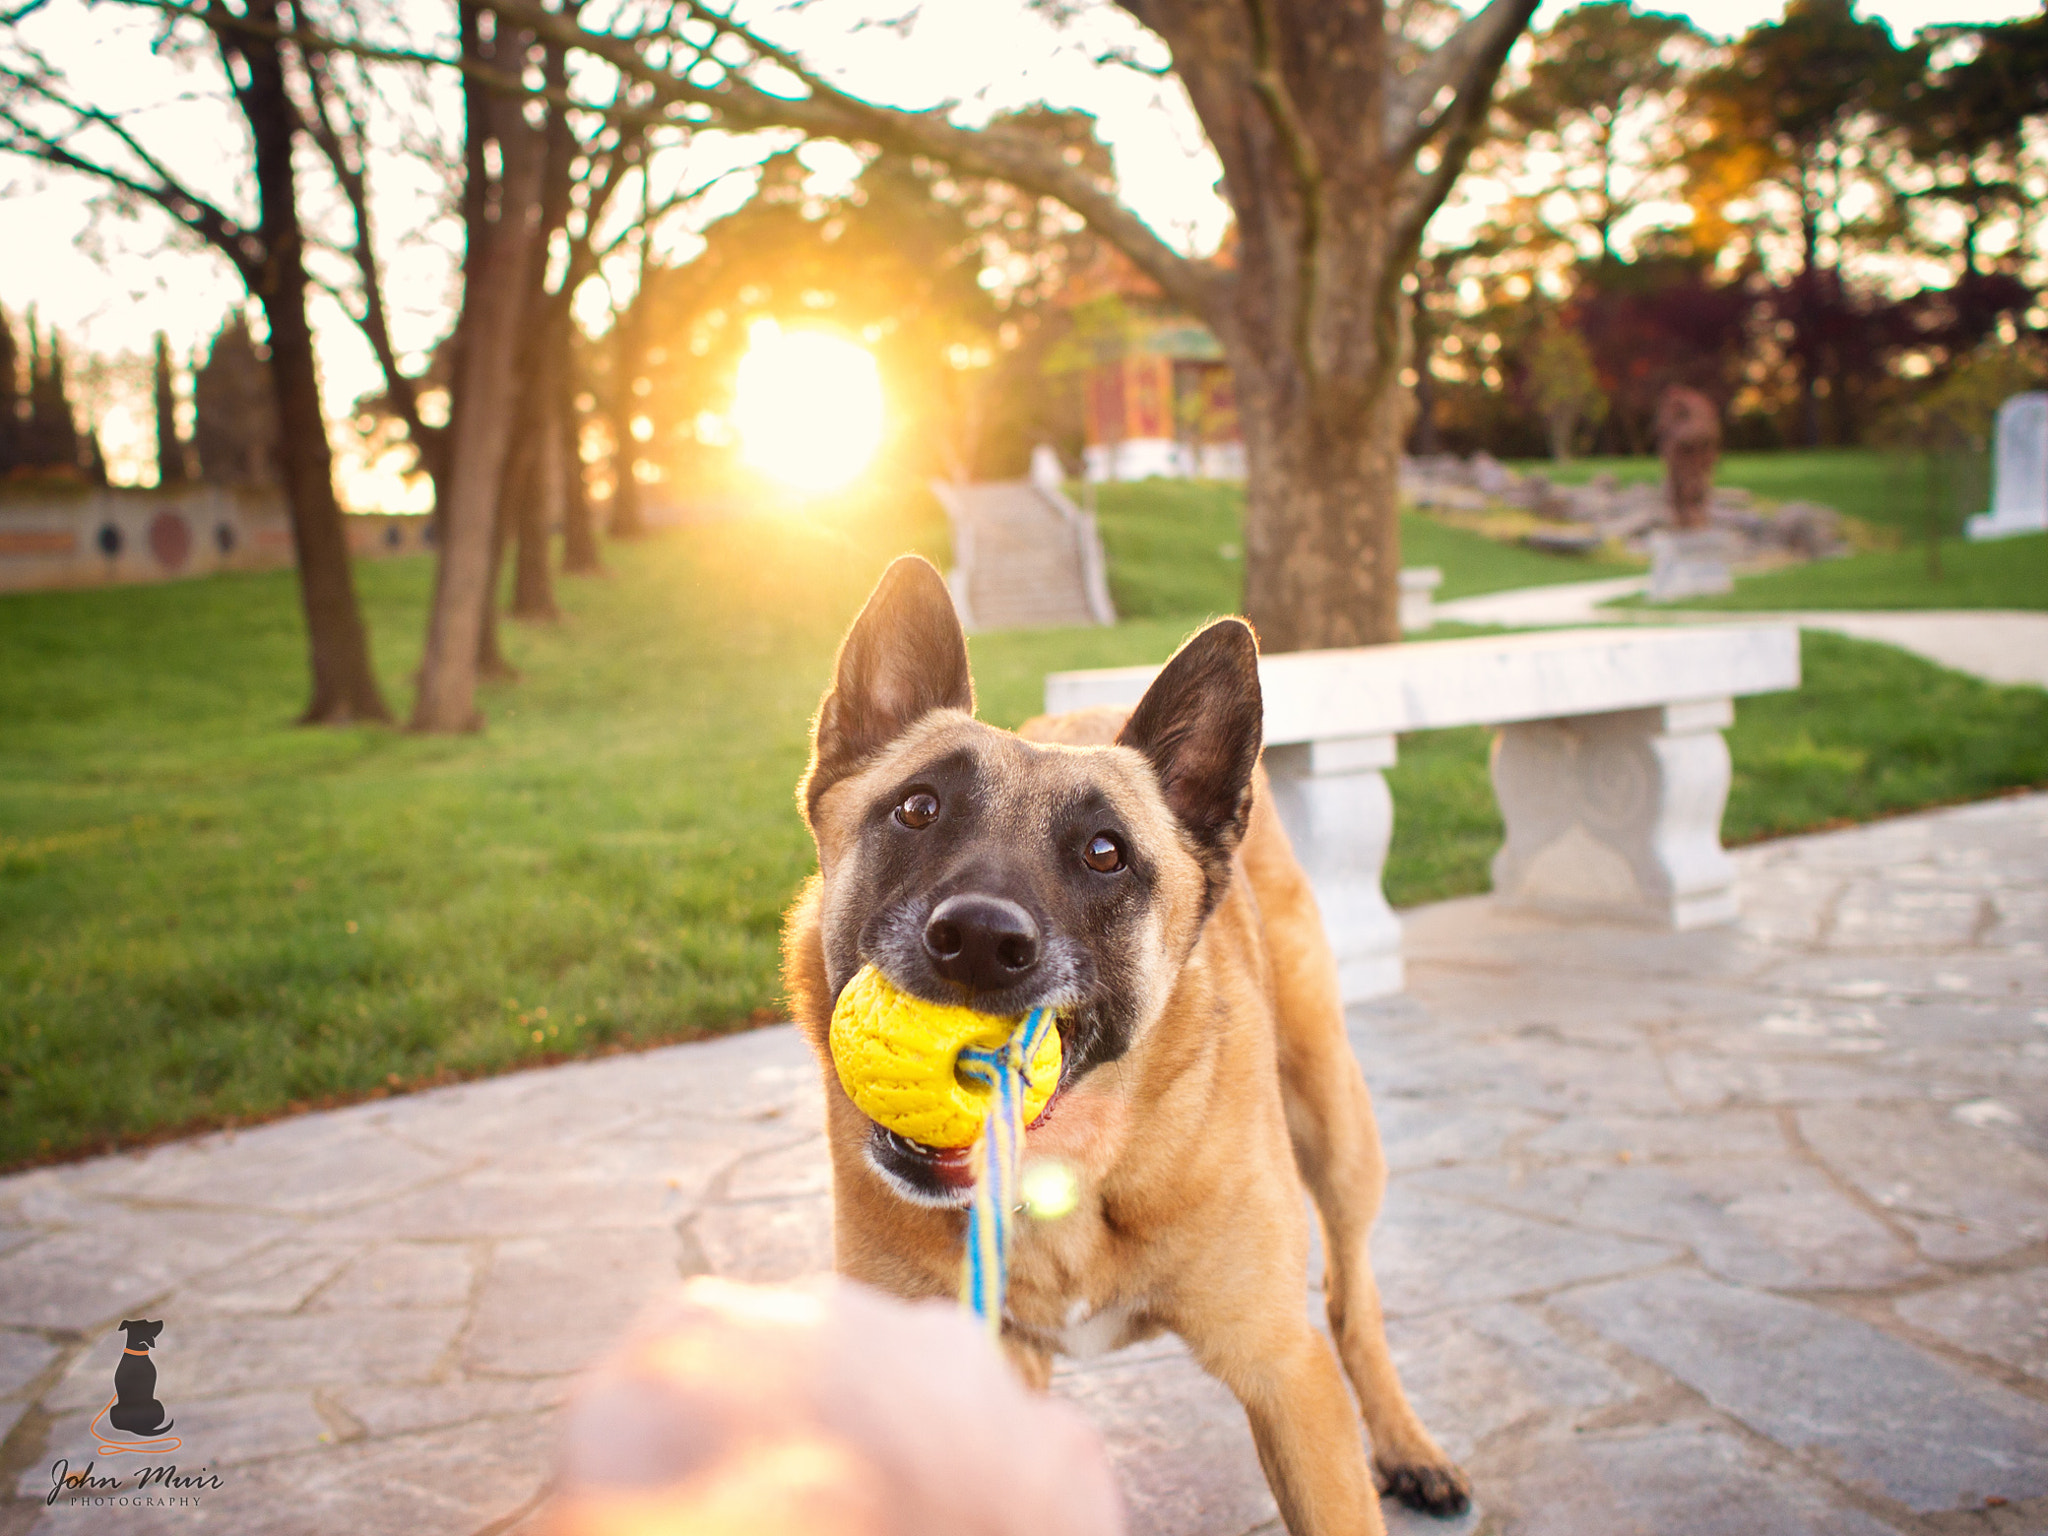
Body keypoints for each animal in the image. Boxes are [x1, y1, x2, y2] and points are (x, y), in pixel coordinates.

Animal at [782, 561, 1474, 1531]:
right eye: (918, 808)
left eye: (1105, 853)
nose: (980, 942)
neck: (1068, 1166)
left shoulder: (1286, 1378)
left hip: (1338, 1128)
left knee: (1353, 1297)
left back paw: (1409, 1445)